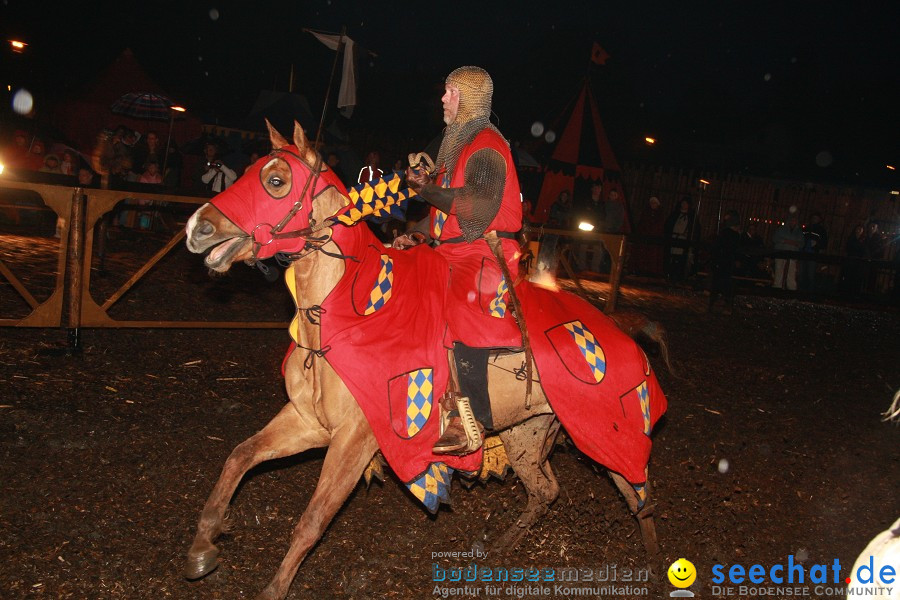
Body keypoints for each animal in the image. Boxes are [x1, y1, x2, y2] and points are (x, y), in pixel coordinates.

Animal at [183, 122, 664, 600]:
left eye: (276, 182)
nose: (197, 228)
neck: (346, 316)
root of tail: (626, 336)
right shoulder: (307, 422)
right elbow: (238, 457)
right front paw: (204, 545)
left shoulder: (355, 440)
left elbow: (312, 521)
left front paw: (272, 588)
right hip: (526, 433)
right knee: (546, 491)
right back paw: (503, 547)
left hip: (606, 432)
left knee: (640, 497)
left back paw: (655, 568)